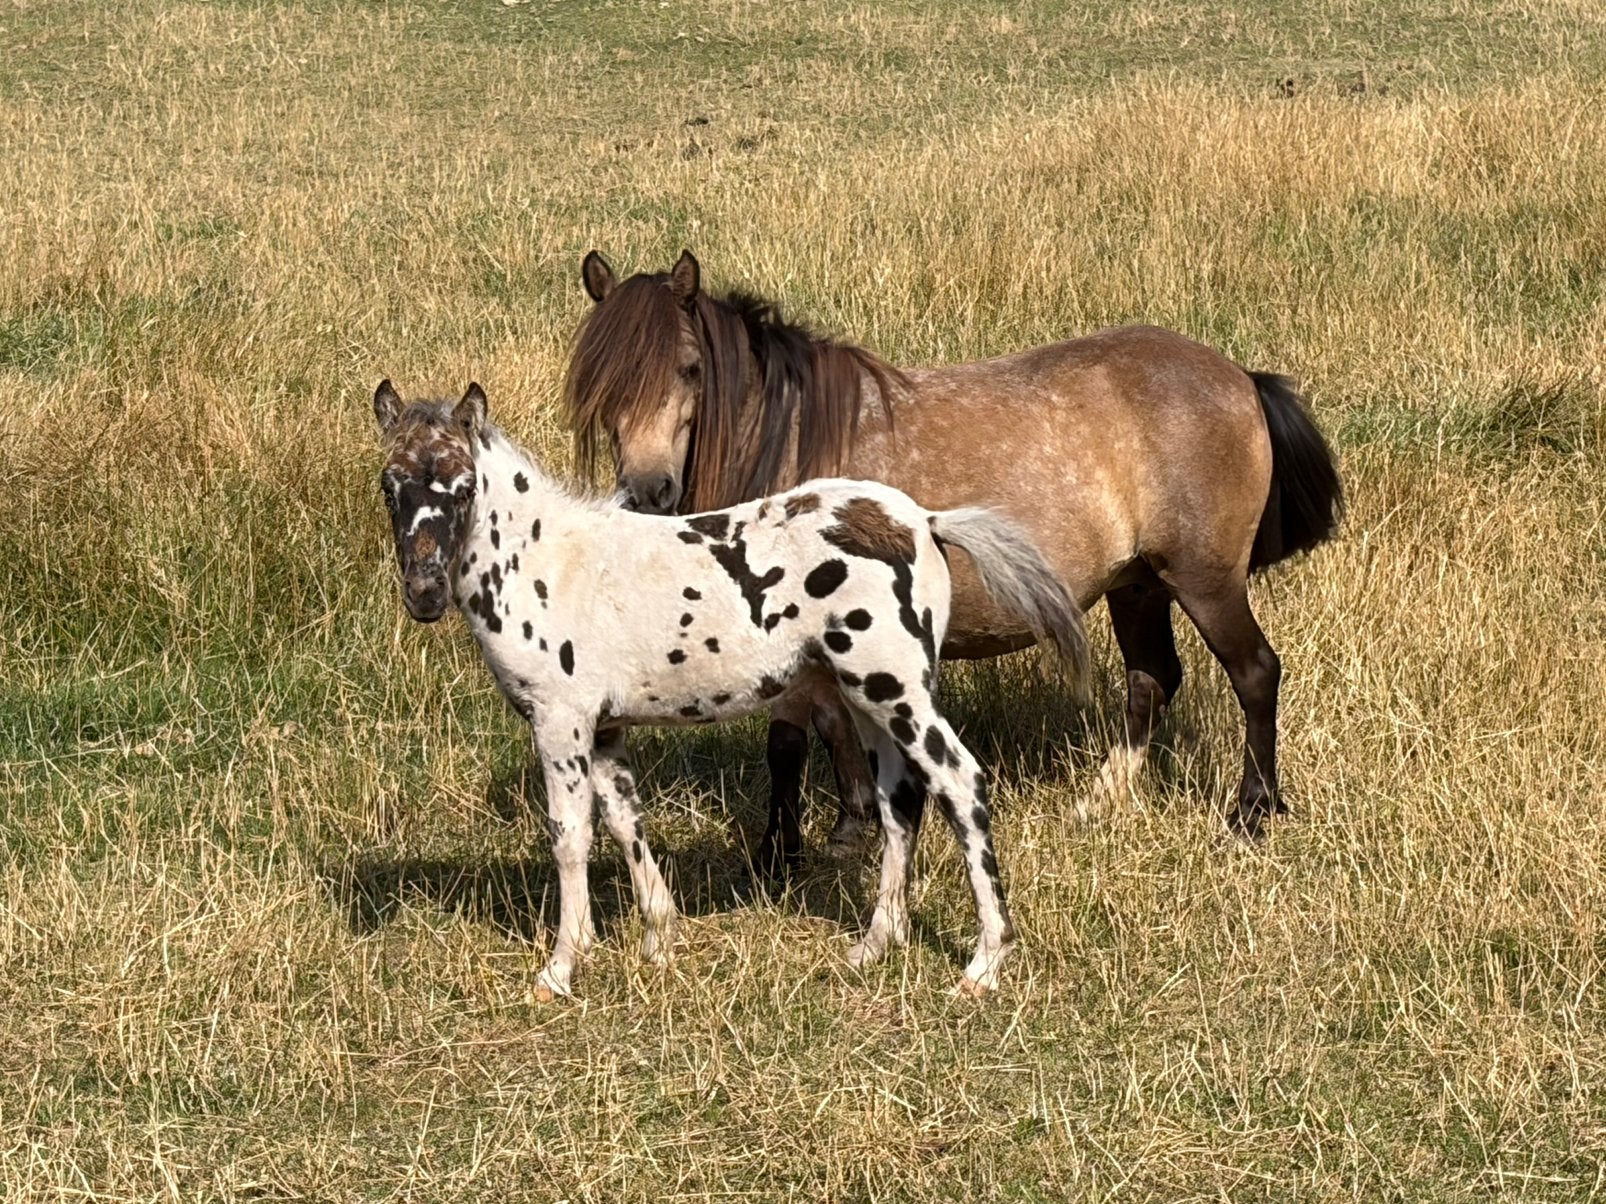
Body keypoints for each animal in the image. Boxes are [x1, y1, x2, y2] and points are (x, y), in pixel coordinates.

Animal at [371, 379, 1089, 999]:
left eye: (463, 486)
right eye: (390, 485)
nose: (424, 595)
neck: (546, 561)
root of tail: (923, 521)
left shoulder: (560, 721)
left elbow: (571, 836)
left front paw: (562, 967)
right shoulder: (605, 729)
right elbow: (627, 821)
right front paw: (660, 938)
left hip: (897, 691)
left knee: (961, 783)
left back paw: (985, 961)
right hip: (869, 701)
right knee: (899, 804)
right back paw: (873, 945)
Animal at [562, 250, 1343, 871]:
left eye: (691, 369)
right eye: (600, 386)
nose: (649, 491)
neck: (792, 445)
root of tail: (1238, 376)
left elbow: (787, 740)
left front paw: (779, 855)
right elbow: (830, 729)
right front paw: (847, 826)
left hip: (1204, 580)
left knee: (1254, 674)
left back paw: (1252, 812)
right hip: (1139, 586)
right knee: (1152, 681)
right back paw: (1101, 799)